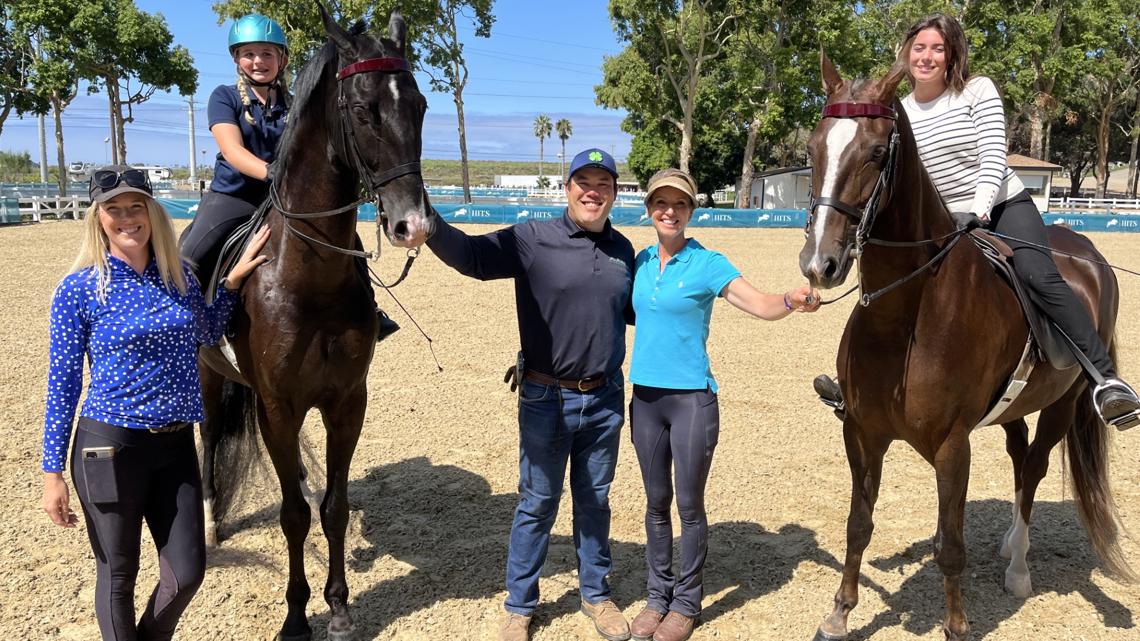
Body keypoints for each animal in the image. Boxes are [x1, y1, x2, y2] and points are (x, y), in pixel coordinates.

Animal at [191, 6, 430, 638]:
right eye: (363, 109)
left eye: (420, 105)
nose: (413, 225)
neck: (308, 278)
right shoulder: (279, 404)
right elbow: (294, 515)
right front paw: (297, 615)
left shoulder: (346, 400)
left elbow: (334, 508)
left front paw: (340, 607)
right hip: (210, 378)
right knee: (209, 437)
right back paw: (210, 519)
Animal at [802, 51, 1130, 638]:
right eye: (812, 149)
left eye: (877, 153)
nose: (821, 263)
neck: (903, 320)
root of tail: (1087, 251)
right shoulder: (863, 433)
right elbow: (858, 524)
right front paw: (839, 613)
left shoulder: (954, 446)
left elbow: (951, 548)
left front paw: (956, 625)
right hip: (1014, 406)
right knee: (1020, 457)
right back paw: (1010, 544)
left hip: (1063, 404)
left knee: (1034, 469)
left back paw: (1019, 566)